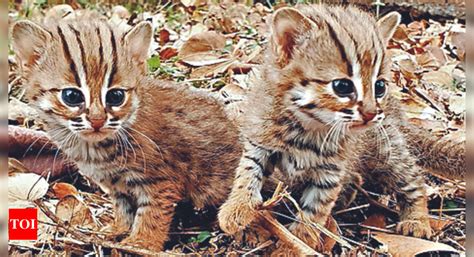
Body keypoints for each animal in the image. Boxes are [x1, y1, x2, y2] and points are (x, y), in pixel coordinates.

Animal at [12, 16, 243, 250]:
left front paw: (141, 243)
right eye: (71, 96)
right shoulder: (117, 186)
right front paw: (117, 230)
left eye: (116, 96)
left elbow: (152, 215)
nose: (97, 120)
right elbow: (123, 210)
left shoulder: (161, 182)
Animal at [218, 5, 434, 253]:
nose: (371, 113)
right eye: (342, 86)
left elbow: (313, 215)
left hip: (388, 152)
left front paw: (295, 246)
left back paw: (416, 220)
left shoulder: (330, 172)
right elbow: (247, 170)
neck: (309, 127)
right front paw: (236, 208)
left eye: (379, 86)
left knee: (413, 180)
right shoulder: (260, 138)